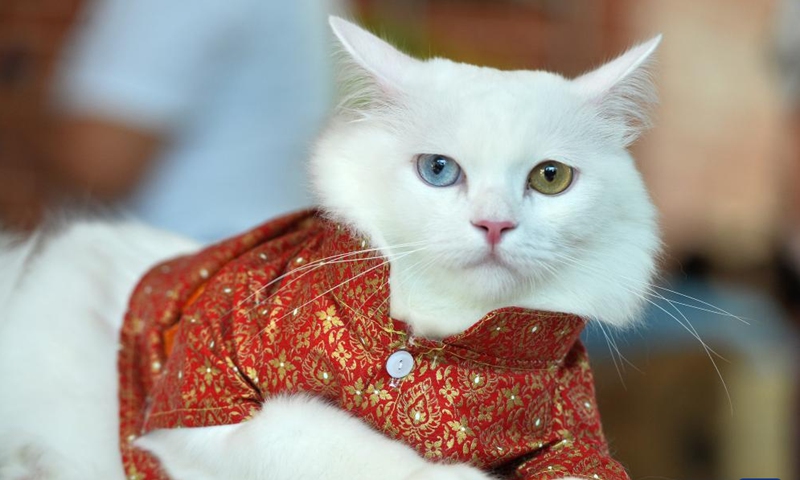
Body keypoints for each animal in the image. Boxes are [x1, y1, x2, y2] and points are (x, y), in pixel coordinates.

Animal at [0, 16, 660, 480]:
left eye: (550, 178)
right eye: (439, 170)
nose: (494, 225)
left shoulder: (573, 441)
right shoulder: (195, 407)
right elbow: (349, 445)